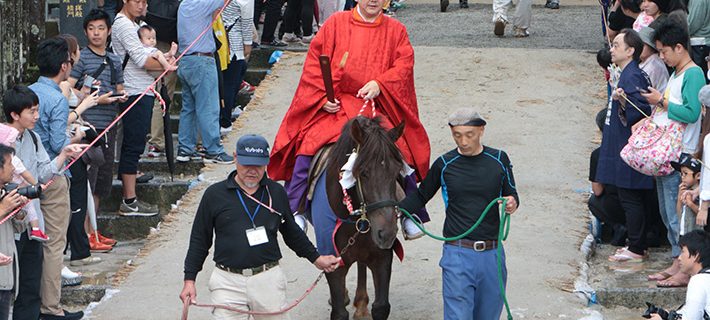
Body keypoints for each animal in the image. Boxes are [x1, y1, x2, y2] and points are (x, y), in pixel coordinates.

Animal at [314, 115, 408, 320]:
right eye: (363, 172)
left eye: (397, 172)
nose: (386, 233)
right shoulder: (334, 264)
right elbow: (339, 313)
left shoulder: (382, 258)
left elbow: (381, 307)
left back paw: (361, 303)